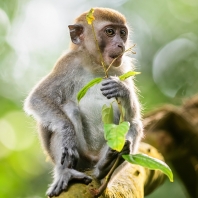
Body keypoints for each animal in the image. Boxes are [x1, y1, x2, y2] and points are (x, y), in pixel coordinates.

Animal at [24, 6, 143, 197]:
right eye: (110, 32)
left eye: (122, 33)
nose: (121, 45)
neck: (96, 64)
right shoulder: (68, 63)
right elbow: (38, 98)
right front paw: (67, 135)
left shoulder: (123, 68)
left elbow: (133, 115)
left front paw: (122, 90)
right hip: (81, 156)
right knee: (68, 109)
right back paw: (66, 172)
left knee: (134, 124)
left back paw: (104, 167)